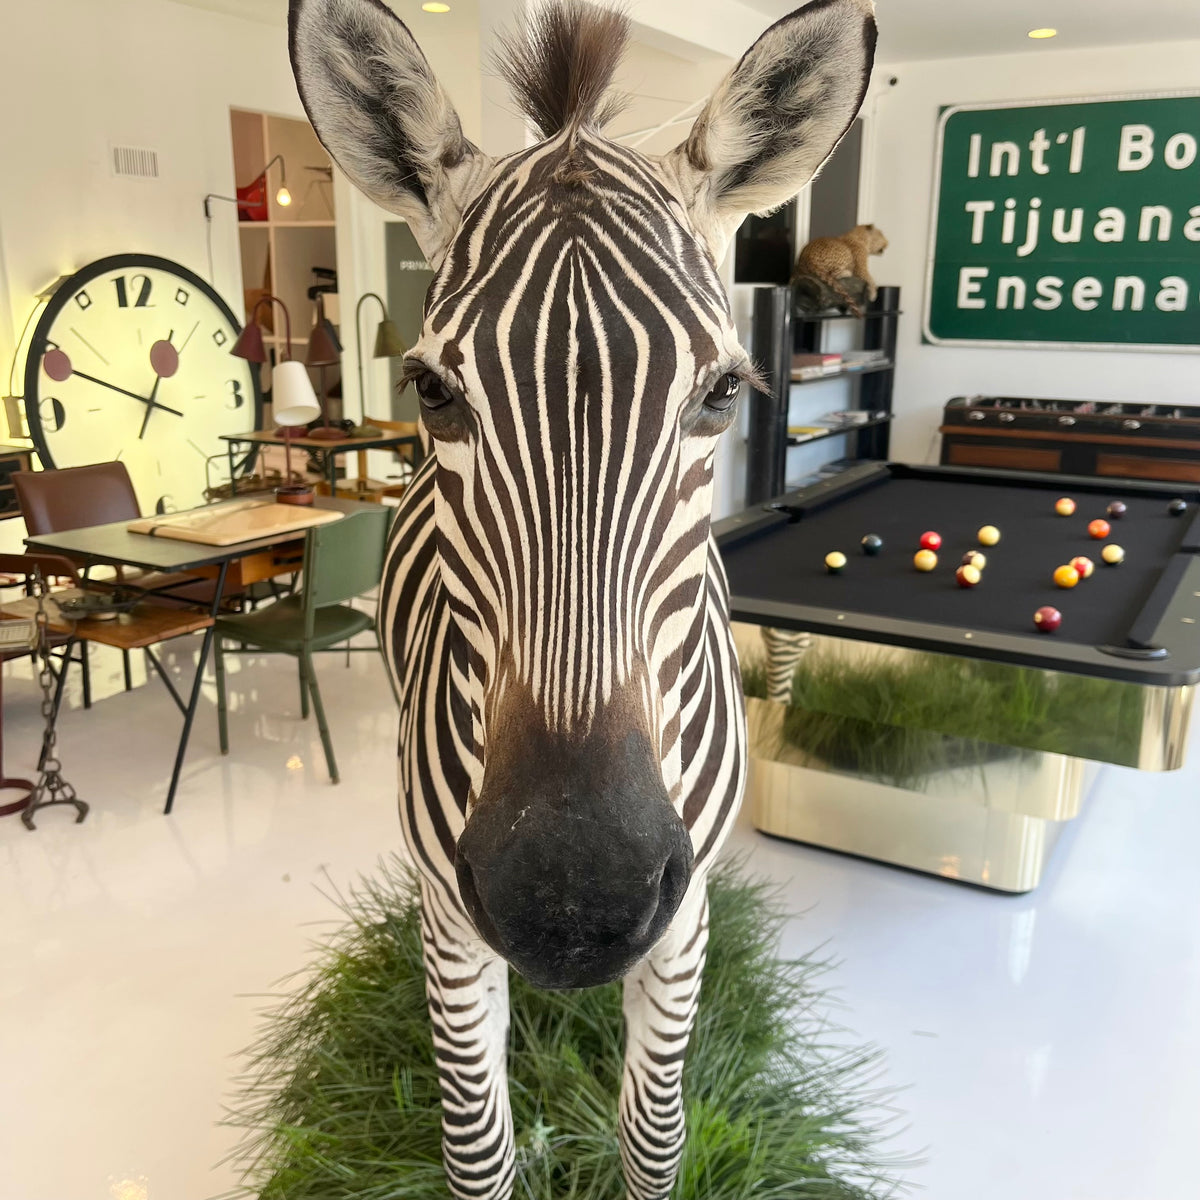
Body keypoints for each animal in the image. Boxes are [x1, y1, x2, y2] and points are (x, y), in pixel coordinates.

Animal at [289, 1, 876, 1196]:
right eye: (431, 392)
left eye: (723, 393)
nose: (572, 897)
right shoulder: (454, 926)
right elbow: (479, 1151)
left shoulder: (685, 921)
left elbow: (653, 1139)